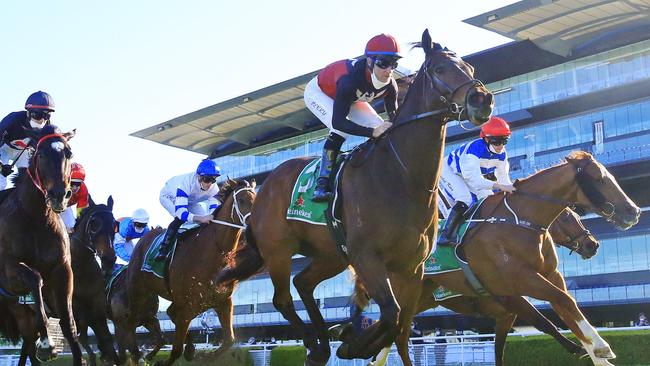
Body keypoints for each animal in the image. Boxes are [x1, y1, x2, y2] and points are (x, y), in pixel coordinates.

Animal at [0, 125, 85, 364]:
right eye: (41, 155)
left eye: (69, 153)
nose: (59, 195)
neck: (36, 216)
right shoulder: (8, 272)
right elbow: (35, 277)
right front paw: (47, 344)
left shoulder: (63, 271)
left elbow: (69, 326)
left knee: (27, 344)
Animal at [120, 179, 254, 366]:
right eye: (241, 200)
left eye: (256, 198)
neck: (212, 250)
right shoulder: (188, 304)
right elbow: (176, 349)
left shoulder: (222, 300)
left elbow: (229, 340)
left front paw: (203, 356)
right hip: (138, 291)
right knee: (131, 321)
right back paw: (137, 355)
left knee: (170, 312)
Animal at [215, 29, 494, 366]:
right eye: (440, 68)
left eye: (470, 67)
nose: (482, 100)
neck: (401, 176)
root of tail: (266, 187)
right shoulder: (367, 258)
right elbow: (391, 314)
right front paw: (353, 342)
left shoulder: (412, 268)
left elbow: (402, 326)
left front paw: (353, 338)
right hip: (279, 251)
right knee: (282, 299)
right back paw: (316, 344)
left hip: (332, 254)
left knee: (303, 283)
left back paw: (322, 344)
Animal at [360, 207, 596, 364]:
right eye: (566, 218)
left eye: (577, 217)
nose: (592, 244)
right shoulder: (511, 300)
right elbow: (545, 323)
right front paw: (578, 348)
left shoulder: (505, 316)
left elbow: (499, 350)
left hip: (420, 301)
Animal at [416, 152, 636, 366]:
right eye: (599, 179)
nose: (633, 211)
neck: (519, 221)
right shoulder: (518, 281)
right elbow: (557, 307)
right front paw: (600, 347)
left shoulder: (546, 279)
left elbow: (566, 305)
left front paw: (595, 355)